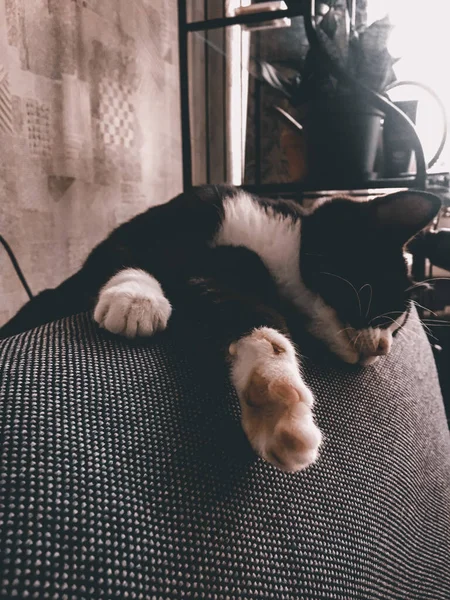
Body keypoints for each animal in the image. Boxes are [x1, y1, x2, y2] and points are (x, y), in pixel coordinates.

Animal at [0, 186, 442, 474]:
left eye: (398, 331)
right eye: (389, 312)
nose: (383, 350)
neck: (271, 246)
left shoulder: (227, 282)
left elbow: (257, 323)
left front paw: (274, 403)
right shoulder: (162, 222)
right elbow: (120, 255)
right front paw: (137, 297)